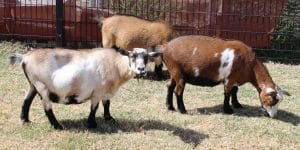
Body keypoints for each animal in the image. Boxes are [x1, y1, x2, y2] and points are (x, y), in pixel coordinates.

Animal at [9, 47, 155, 129]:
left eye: (147, 57)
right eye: (132, 56)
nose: (141, 70)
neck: (116, 64)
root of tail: (25, 57)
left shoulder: (106, 92)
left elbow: (107, 104)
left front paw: (109, 119)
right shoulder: (98, 91)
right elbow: (94, 107)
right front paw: (92, 124)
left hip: (32, 84)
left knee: (26, 101)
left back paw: (25, 120)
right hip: (41, 86)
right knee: (47, 107)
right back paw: (57, 126)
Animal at [154, 35, 290, 117]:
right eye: (272, 101)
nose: (273, 115)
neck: (250, 65)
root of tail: (165, 47)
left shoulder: (235, 79)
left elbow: (235, 91)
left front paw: (237, 104)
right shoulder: (230, 79)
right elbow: (227, 93)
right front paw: (228, 110)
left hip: (173, 72)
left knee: (169, 87)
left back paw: (170, 107)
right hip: (178, 72)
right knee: (178, 91)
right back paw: (183, 110)